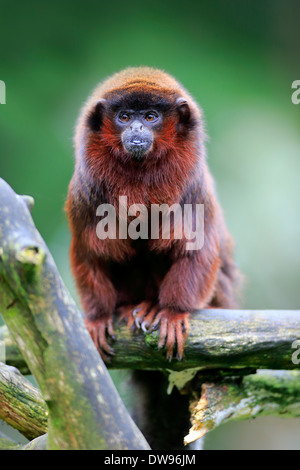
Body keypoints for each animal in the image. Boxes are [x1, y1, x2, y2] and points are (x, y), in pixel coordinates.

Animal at [65, 66, 239, 362]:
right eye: (124, 117)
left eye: (150, 117)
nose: (136, 128)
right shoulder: (85, 195)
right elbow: (89, 253)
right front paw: (98, 317)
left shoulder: (193, 190)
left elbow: (196, 249)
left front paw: (172, 312)